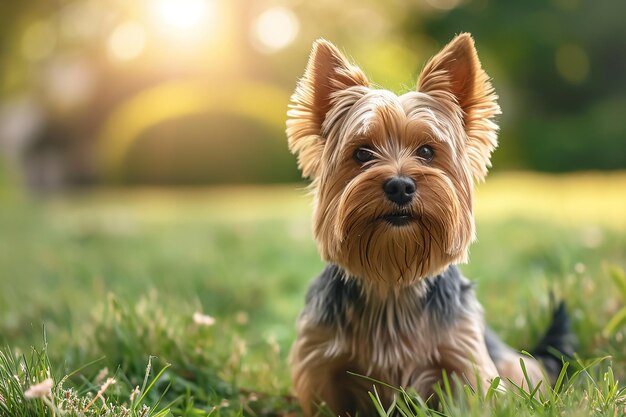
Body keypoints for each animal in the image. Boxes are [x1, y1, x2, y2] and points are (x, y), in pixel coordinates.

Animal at [286, 33, 572, 416]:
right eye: (361, 153)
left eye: (426, 151)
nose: (400, 185)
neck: (392, 281)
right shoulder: (321, 365)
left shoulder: (462, 358)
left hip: (511, 362)